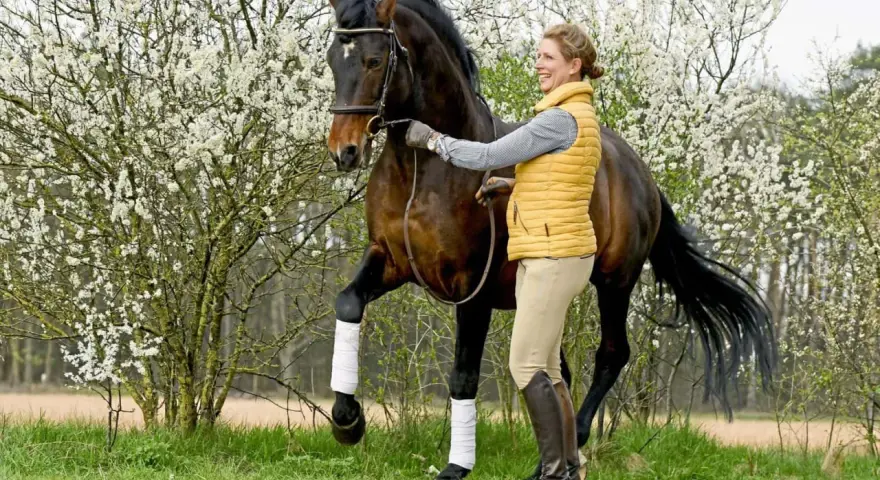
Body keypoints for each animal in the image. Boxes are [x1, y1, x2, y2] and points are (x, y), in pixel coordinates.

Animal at [323, 1, 776, 478]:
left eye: (375, 60)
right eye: (333, 59)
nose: (344, 151)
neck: (422, 172)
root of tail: (640, 172)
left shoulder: (472, 290)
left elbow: (463, 377)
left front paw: (456, 467)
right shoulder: (390, 260)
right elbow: (348, 304)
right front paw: (347, 421)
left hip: (615, 282)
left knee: (611, 354)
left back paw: (577, 439)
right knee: (555, 371)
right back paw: (553, 459)